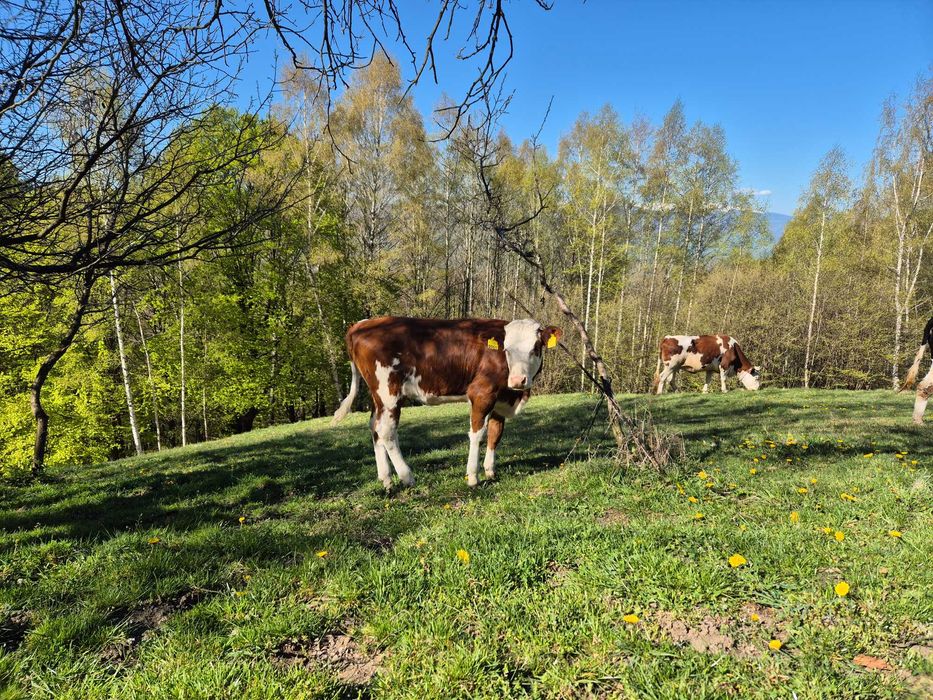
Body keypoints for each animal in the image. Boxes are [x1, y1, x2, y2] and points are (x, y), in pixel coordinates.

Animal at [331, 317, 563, 489]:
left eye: (536, 347)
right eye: (507, 349)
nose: (517, 380)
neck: (514, 396)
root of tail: (361, 324)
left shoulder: (500, 399)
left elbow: (495, 434)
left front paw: (490, 471)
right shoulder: (481, 393)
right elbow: (477, 434)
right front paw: (473, 477)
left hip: (377, 396)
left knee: (374, 427)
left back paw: (386, 478)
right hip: (389, 392)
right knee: (387, 431)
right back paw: (407, 477)